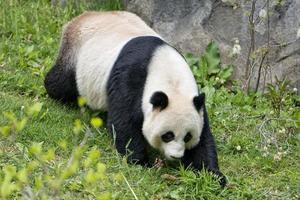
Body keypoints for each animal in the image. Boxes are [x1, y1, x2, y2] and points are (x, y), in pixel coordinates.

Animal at [44, 10, 226, 186]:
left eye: (187, 136)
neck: (169, 75)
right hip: (75, 55)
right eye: (168, 135)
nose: (176, 156)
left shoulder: (195, 102)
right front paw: (141, 161)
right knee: (61, 83)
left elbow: (203, 139)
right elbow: (124, 121)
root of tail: (83, 16)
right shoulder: (131, 79)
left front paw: (213, 176)